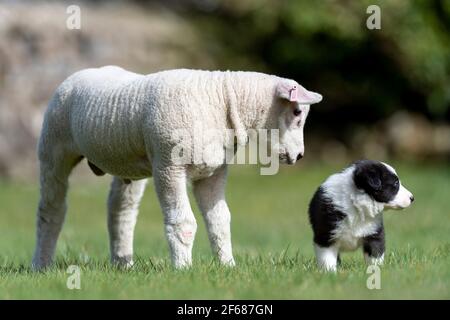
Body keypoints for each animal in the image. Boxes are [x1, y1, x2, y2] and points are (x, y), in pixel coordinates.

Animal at [31, 65, 322, 270]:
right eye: (297, 113)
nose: (299, 156)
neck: (223, 101)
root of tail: (84, 72)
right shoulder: (169, 166)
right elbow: (183, 222)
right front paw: (183, 269)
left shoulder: (214, 172)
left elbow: (220, 221)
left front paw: (228, 266)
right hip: (53, 148)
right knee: (51, 210)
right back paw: (41, 265)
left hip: (128, 165)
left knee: (120, 211)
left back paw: (123, 263)